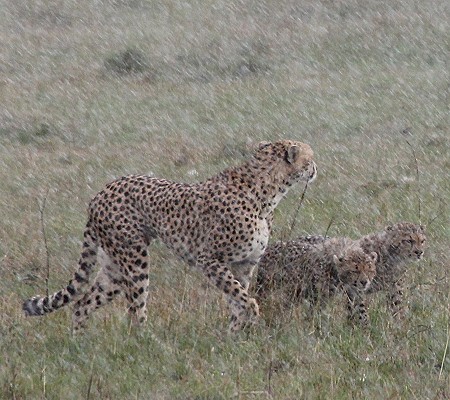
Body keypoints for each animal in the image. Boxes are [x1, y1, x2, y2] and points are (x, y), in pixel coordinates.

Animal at [22, 139, 316, 332]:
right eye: (310, 158)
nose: (315, 169)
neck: (268, 192)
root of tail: (100, 192)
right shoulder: (210, 260)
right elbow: (242, 298)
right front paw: (250, 319)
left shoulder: (243, 265)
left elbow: (237, 299)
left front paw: (234, 337)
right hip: (134, 258)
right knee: (135, 309)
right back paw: (146, 343)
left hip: (113, 267)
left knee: (81, 304)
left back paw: (79, 343)